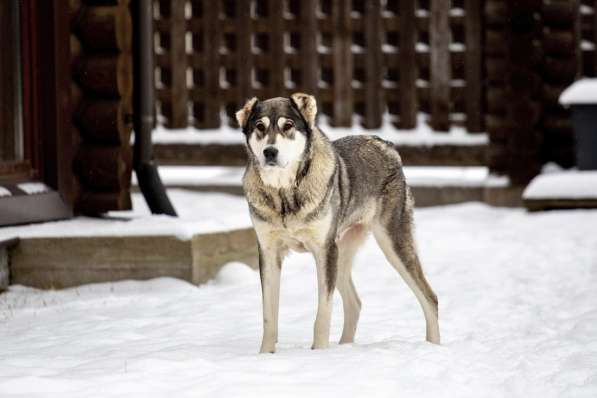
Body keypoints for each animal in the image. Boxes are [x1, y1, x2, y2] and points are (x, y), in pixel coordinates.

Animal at [235, 94, 440, 354]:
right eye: (259, 127)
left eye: (288, 126)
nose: (270, 152)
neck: (285, 194)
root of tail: (387, 145)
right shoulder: (269, 253)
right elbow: (269, 316)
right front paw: (265, 355)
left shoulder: (324, 250)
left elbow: (323, 313)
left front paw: (320, 353)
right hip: (342, 255)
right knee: (355, 303)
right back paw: (345, 347)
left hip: (392, 245)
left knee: (430, 298)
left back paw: (433, 346)